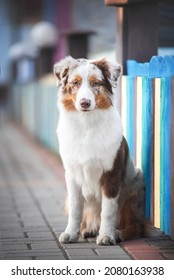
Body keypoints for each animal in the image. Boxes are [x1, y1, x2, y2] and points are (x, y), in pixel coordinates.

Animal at [53, 56, 145, 245]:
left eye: (96, 83)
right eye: (75, 83)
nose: (85, 103)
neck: (86, 125)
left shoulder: (112, 174)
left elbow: (108, 211)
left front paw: (107, 235)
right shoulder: (71, 175)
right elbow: (75, 209)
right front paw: (71, 233)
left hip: (134, 186)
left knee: (137, 226)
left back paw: (119, 233)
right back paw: (88, 229)